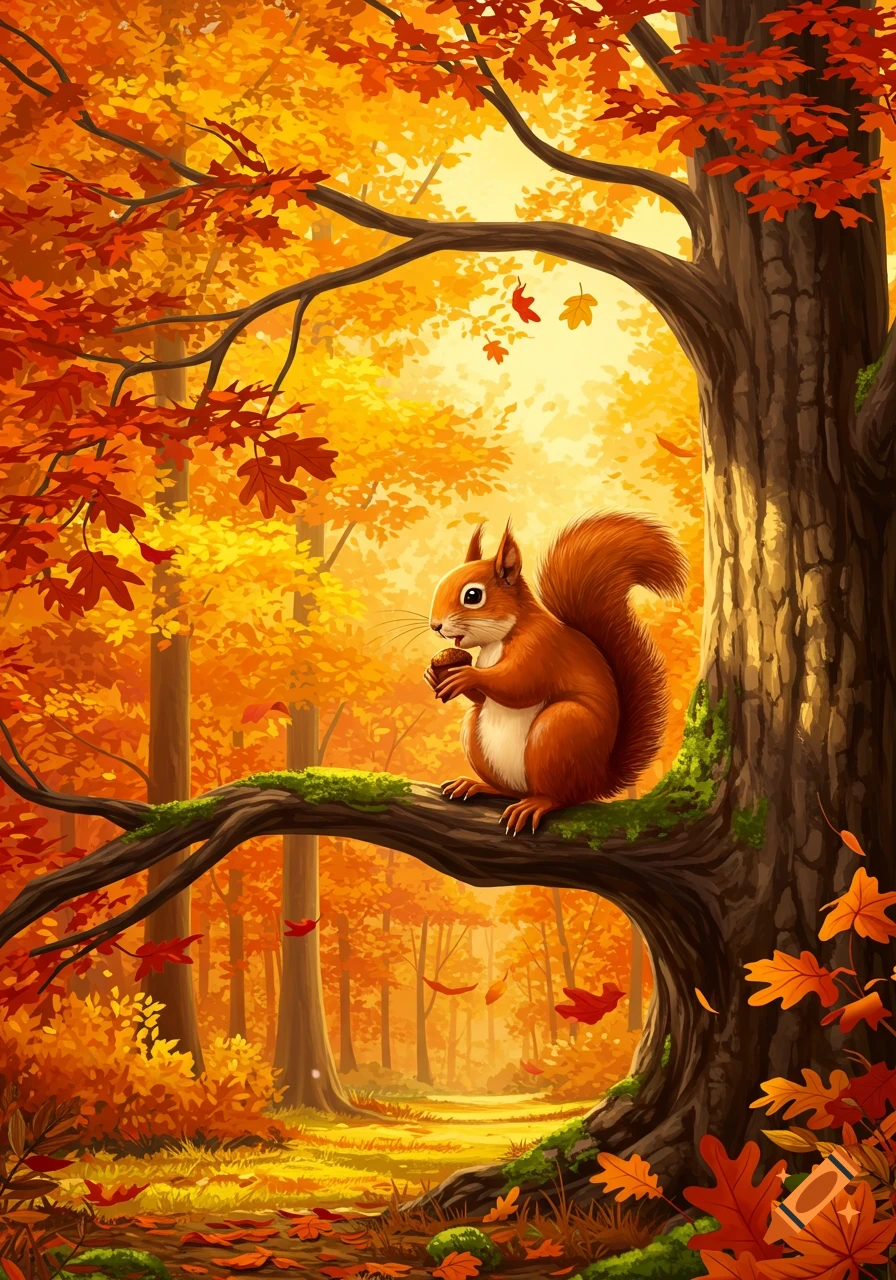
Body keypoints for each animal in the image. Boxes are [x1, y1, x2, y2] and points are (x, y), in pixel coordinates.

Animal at [424, 511, 688, 835]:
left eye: (472, 595)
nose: (435, 625)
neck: (501, 637)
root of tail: (597, 779)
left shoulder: (541, 649)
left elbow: (519, 684)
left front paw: (467, 676)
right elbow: (481, 699)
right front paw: (433, 675)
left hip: (558, 731)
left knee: (559, 796)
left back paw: (535, 804)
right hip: (480, 736)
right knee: (509, 788)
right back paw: (476, 785)